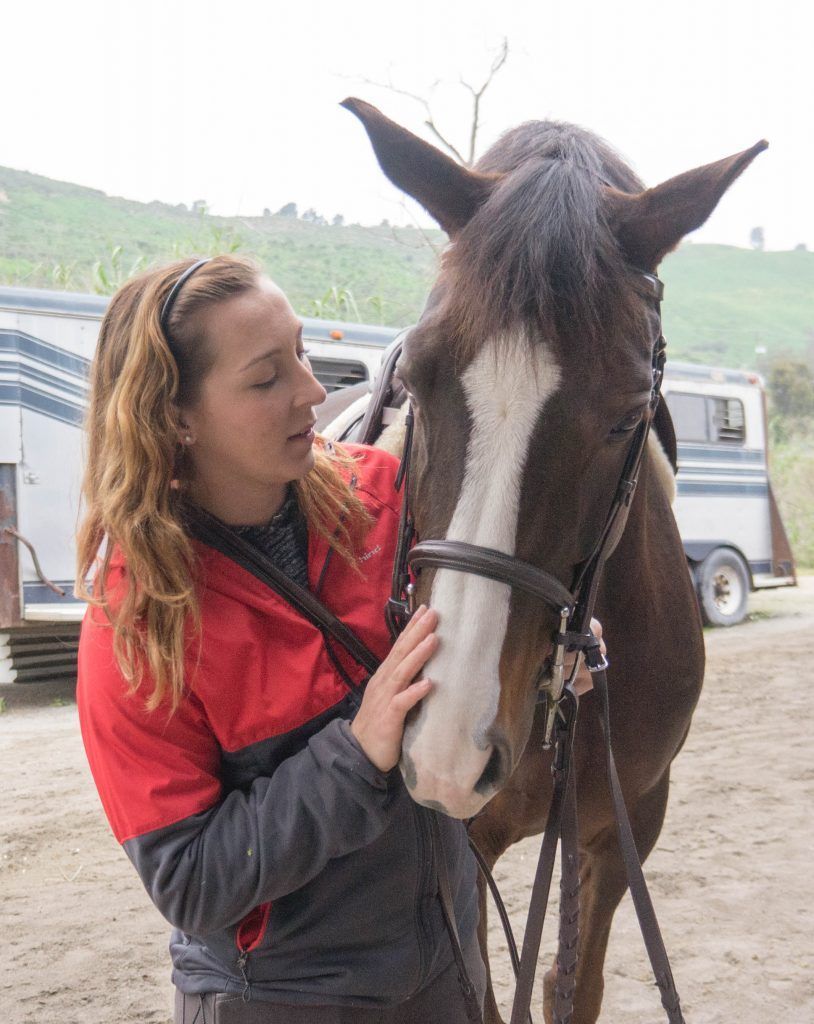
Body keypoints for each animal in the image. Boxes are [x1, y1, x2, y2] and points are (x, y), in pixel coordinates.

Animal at [341, 98, 765, 1024]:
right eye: (417, 377)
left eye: (628, 415)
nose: (450, 740)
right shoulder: (464, 853)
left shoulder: (621, 824)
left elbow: (572, 987)